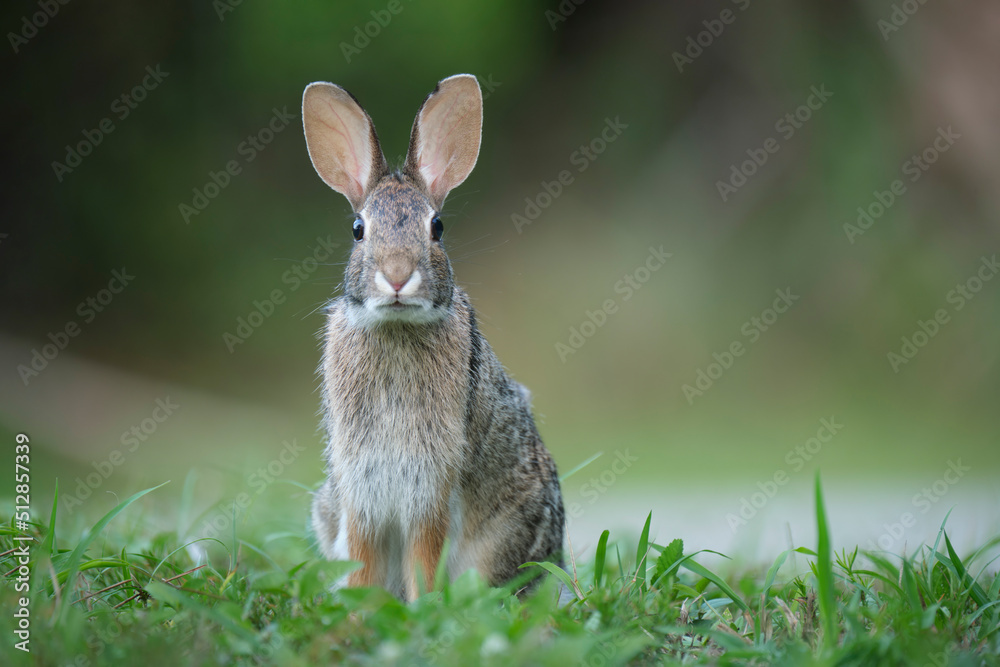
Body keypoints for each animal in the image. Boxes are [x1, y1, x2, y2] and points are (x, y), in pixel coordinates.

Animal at [300, 75, 568, 604]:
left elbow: (424, 554)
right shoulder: (361, 488)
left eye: (437, 227)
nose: (397, 277)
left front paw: (423, 609)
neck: (395, 328)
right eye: (358, 229)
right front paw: (361, 611)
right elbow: (364, 559)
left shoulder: (430, 486)